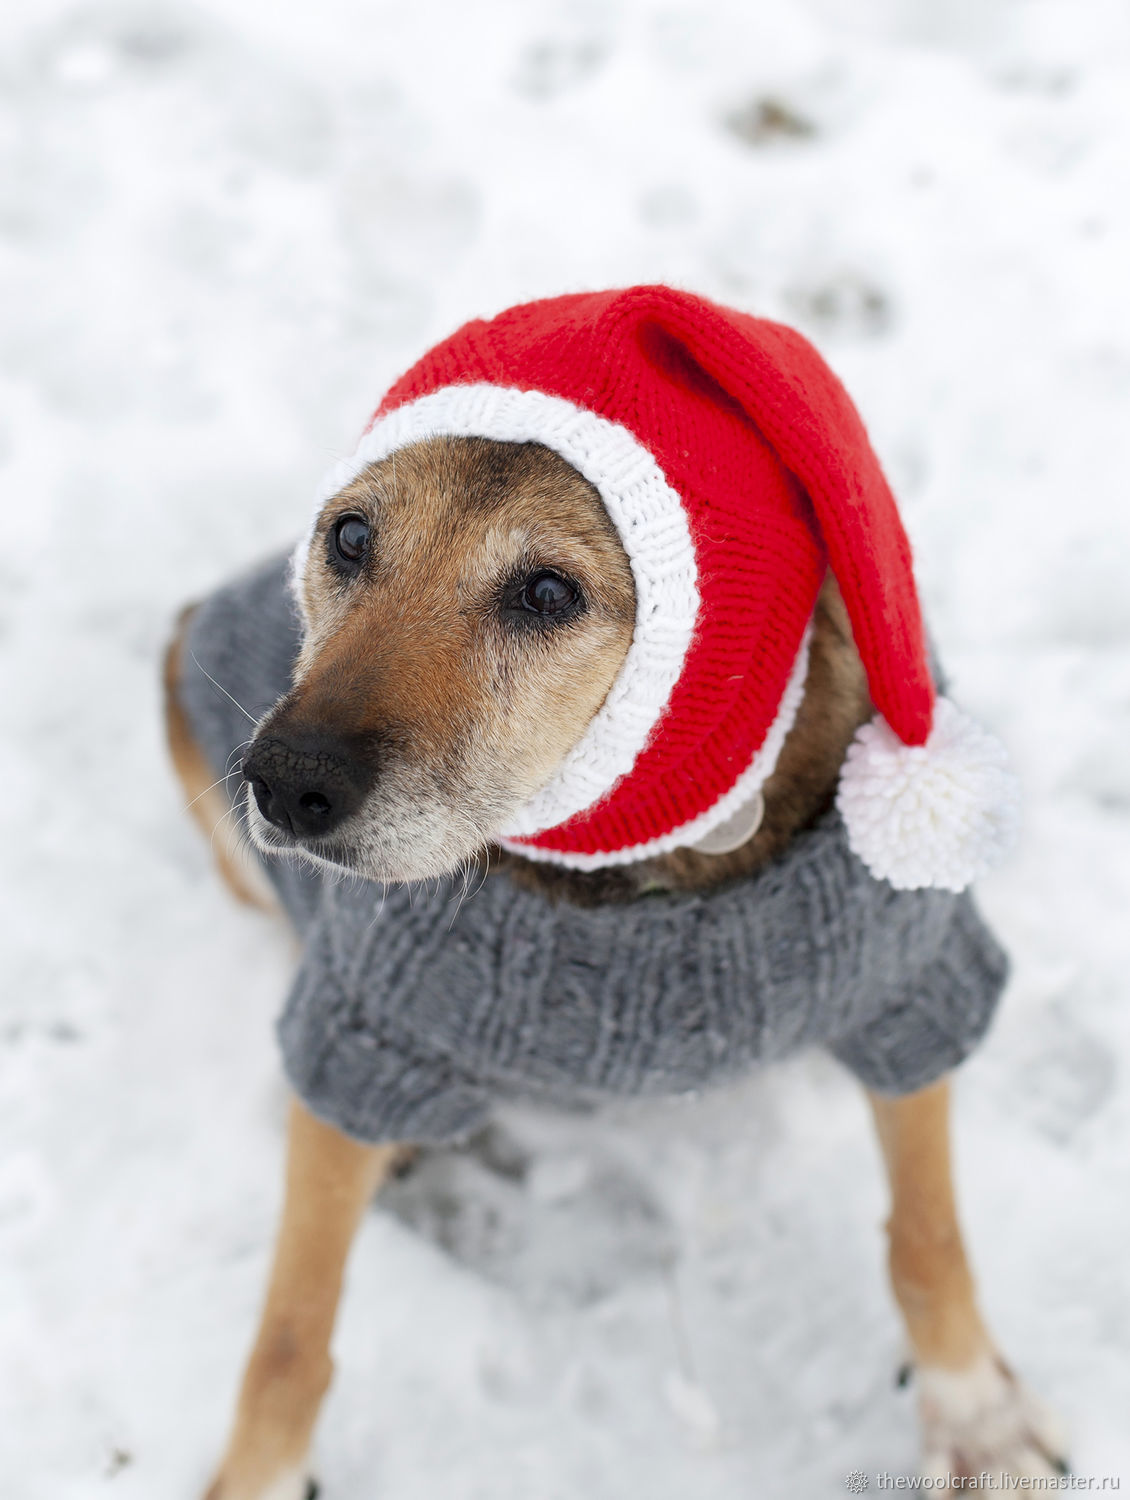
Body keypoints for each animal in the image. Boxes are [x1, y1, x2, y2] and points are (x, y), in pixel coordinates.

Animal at [160, 286, 1068, 1494]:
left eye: (548, 592)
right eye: (350, 537)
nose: (286, 782)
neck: (642, 868)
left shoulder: (908, 985)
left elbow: (926, 1234)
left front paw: (973, 1413)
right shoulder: (364, 1025)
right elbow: (294, 1327)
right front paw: (259, 1470)